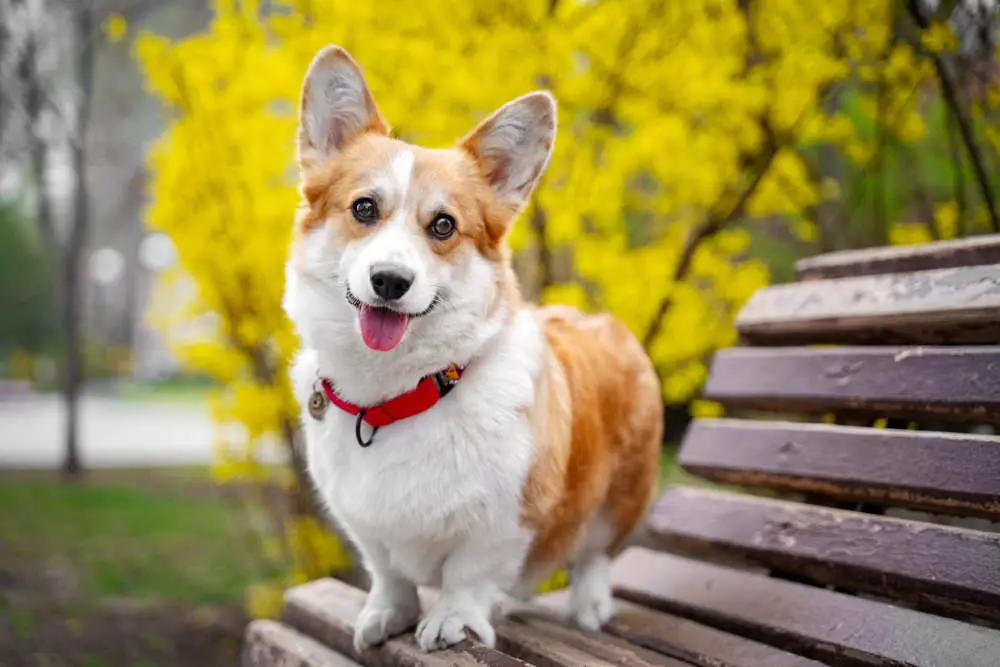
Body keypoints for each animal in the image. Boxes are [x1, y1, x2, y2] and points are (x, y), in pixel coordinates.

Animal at [282, 45, 664, 652]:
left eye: (444, 225)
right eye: (364, 209)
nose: (390, 281)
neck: (394, 395)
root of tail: (601, 320)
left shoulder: (507, 519)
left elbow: (470, 573)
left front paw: (453, 620)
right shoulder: (364, 525)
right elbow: (387, 573)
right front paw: (386, 614)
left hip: (622, 494)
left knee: (594, 555)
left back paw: (588, 605)